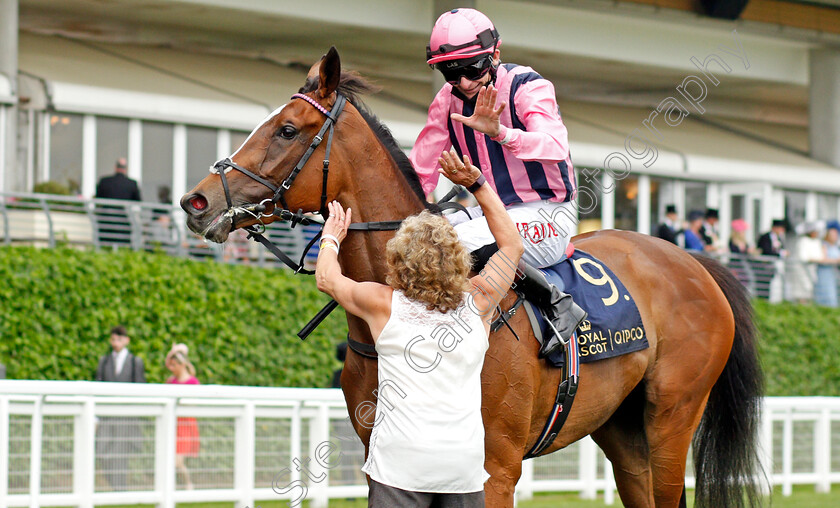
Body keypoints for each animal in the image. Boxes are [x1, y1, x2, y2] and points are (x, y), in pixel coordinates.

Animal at [180, 48, 764, 508]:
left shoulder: (494, 469)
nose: (196, 201)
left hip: (672, 417)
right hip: (623, 430)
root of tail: (696, 264)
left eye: (286, 130)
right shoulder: (386, 460)